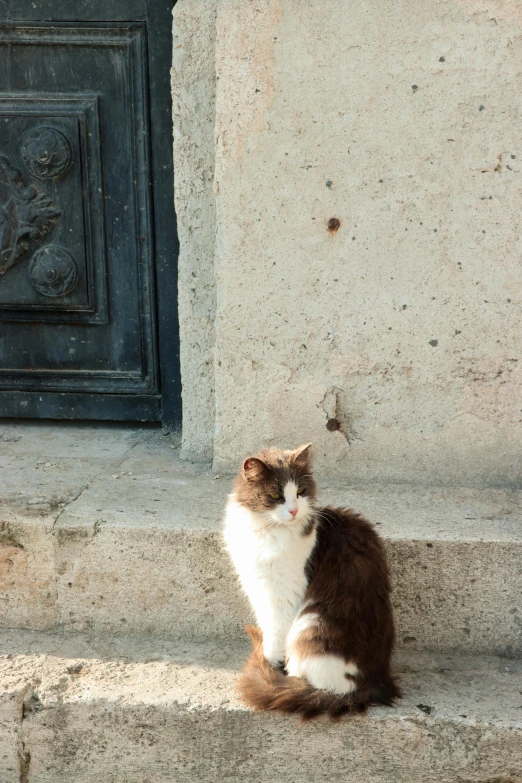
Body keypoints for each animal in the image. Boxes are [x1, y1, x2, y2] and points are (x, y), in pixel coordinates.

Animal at [222, 444, 398, 720]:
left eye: (301, 492)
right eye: (276, 495)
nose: (294, 510)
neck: (265, 532)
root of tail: (371, 686)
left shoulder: (283, 597)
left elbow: (275, 637)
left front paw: (271, 665)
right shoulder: (258, 590)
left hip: (310, 626)